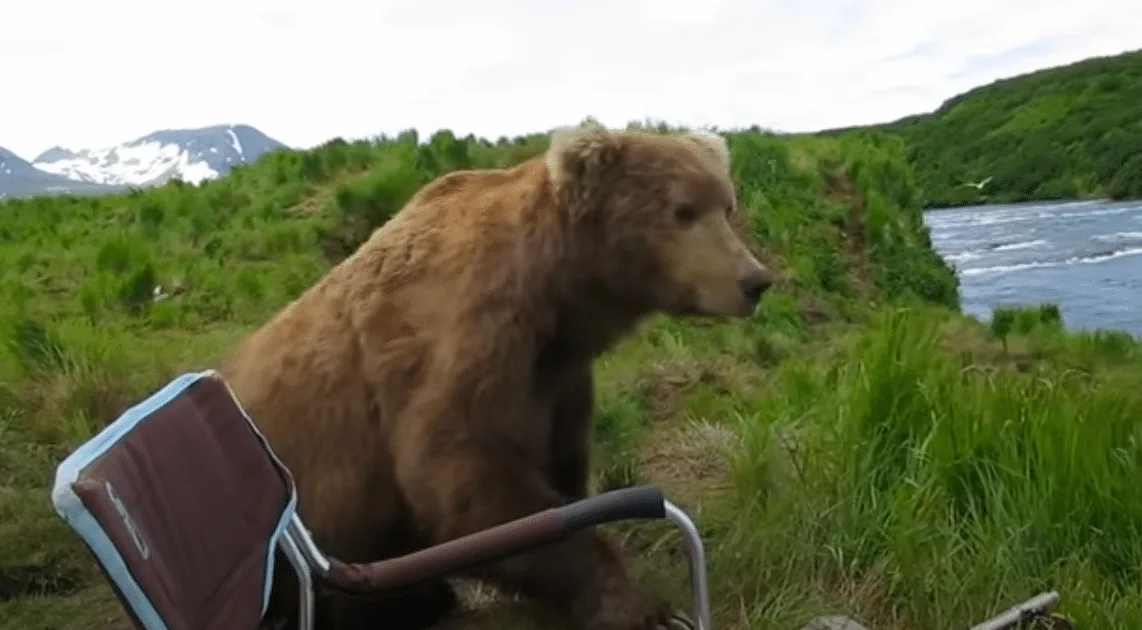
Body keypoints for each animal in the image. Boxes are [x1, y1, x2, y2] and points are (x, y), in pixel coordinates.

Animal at [220, 124, 776, 630]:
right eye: (684, 210)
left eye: (726, 206)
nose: (754, 280)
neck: (556, 296)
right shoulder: (469, 334)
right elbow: (466, 474)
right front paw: (639, 605)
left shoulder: (558, 376)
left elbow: (561, 462)